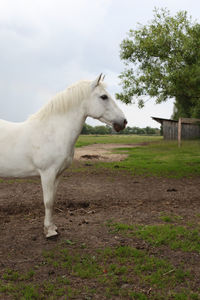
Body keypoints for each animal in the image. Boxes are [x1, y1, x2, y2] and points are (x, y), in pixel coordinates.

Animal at [0, 74, 127, 238]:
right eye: (104, 97)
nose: (123, 122)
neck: (53, 132)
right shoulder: (47, 173)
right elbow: (48, 201)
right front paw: (49, 232)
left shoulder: (58, 174)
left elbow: (53, 200)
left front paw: (52, 227)